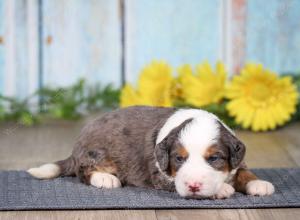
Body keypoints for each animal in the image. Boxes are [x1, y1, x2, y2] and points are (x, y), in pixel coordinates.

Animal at [28, 105, 274, 199]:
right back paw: (106, 179)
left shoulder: (238, 157)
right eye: (178, 159)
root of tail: (76, 145)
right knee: (84, 171)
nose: (194, 186)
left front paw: (259, 183)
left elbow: (243, 171)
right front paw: (222, 189)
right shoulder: (161, 176)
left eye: (214, 158)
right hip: (96, 153)